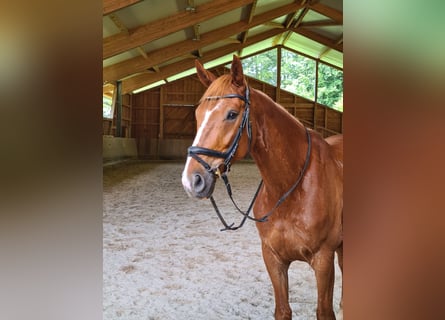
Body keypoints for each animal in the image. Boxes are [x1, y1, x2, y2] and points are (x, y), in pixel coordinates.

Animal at [182, 56, 342, 318]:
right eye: (197, 114)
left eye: (232, 114)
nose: (192, 181)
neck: (289, 188)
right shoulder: (273, 258)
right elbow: (283, 310)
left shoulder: (323, 261)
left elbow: (324, 311)